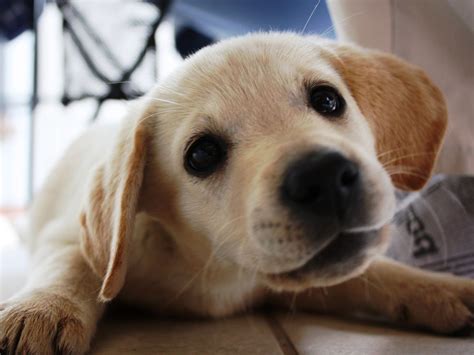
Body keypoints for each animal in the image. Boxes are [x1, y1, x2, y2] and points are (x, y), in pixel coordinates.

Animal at [1, 32, 472, 354]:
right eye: (202, 154)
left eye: (328, 100)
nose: (323, 175)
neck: (216, 268)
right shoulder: (70, 235)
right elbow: (73, 265)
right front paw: (40, 311)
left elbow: (376, 273)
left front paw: (440, 289)